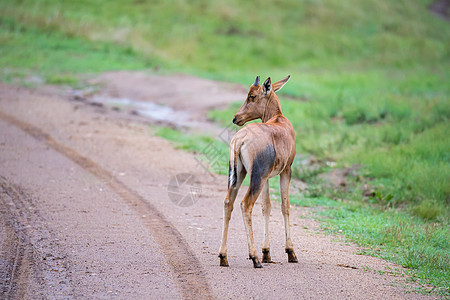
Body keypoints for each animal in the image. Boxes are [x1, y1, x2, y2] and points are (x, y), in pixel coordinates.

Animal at [219, 75, 298, 268]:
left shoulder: (267, 177)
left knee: (228, 202)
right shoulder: (286, 171)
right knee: (245, 204)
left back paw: (223, 257)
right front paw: (290, 252)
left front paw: (267, 253)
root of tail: (240, 138)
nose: (235, 118)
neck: (278, 120)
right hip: (256, 178)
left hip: (239, 175)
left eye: (252, 96)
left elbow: (266, 206)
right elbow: (285, 206)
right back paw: (254, 258)